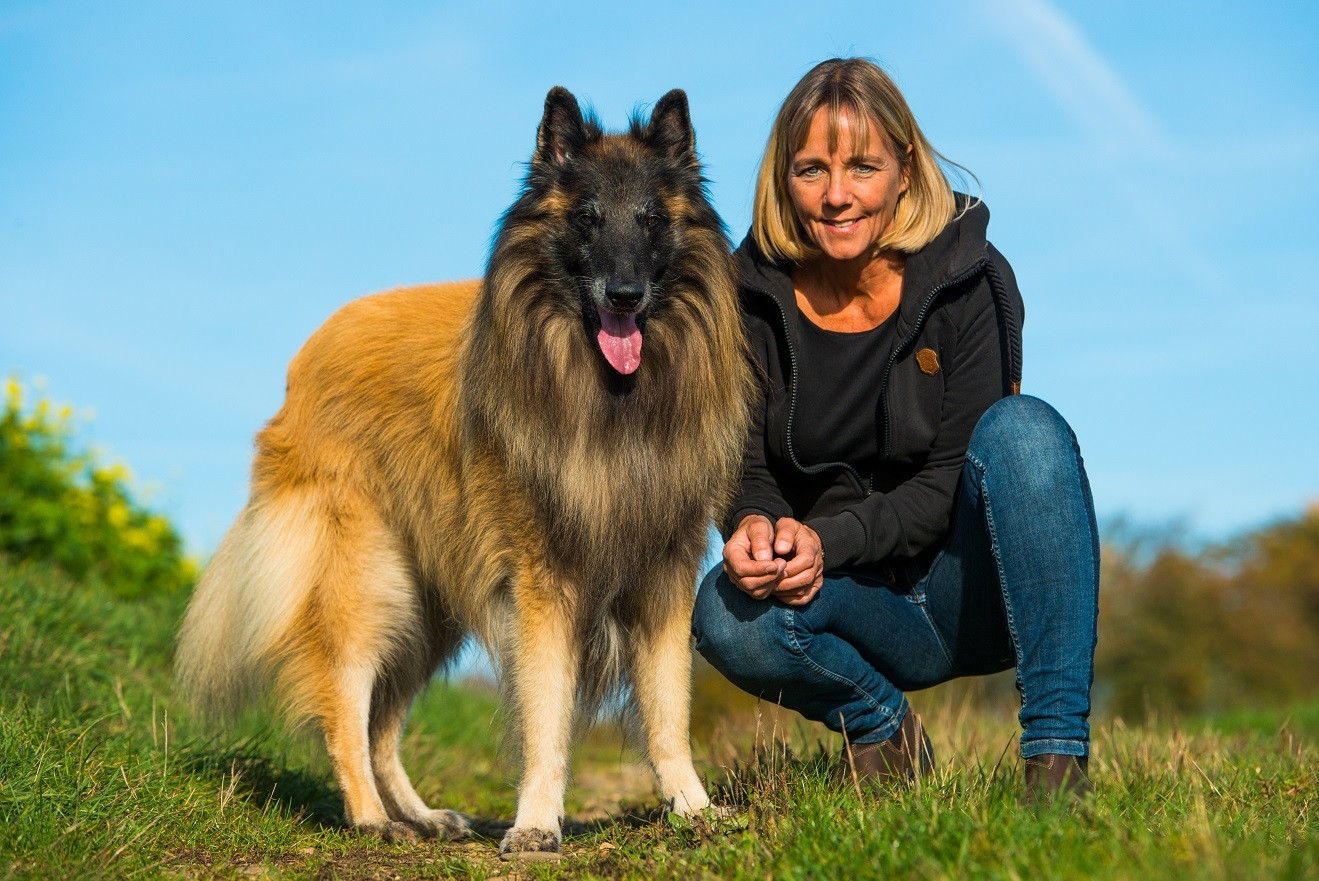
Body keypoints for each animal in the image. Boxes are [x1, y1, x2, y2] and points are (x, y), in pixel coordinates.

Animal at [175, 85, 754, 854]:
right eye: (587, 218)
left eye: (652, 220)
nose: (625, 295)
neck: (608, 393)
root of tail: (305, 359)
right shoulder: (543, 586)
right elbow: (546, 715)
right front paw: (536, 823)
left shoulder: (661, 574)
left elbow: (668, 710)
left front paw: (692, 809)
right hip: (371, 590)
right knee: (346, 709)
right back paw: (370, 817)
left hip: (424, 609)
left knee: (382, 721)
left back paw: (419, 816)